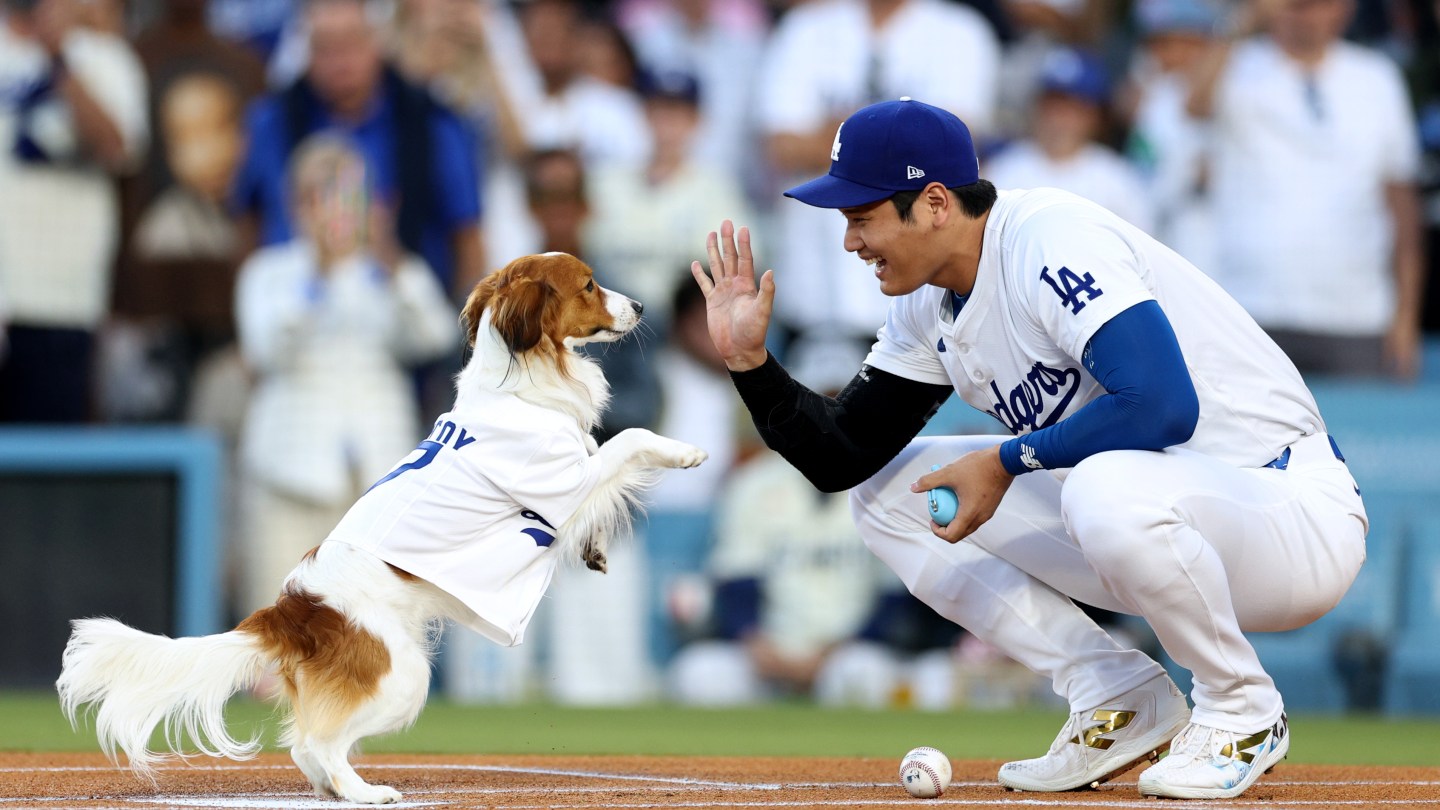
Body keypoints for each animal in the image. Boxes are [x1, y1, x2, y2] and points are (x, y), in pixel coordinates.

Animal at [57, 250, 708, 801]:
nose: (641, 306)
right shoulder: (561, 483)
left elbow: (602, 459)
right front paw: (684, 452)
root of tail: (289, 610)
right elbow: (627, 440)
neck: (520, 385)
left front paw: (595, 548)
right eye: (590, 285)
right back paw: (365, 792)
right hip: (404, 676)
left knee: (306, 749)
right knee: (316, 743)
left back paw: (337, 789)